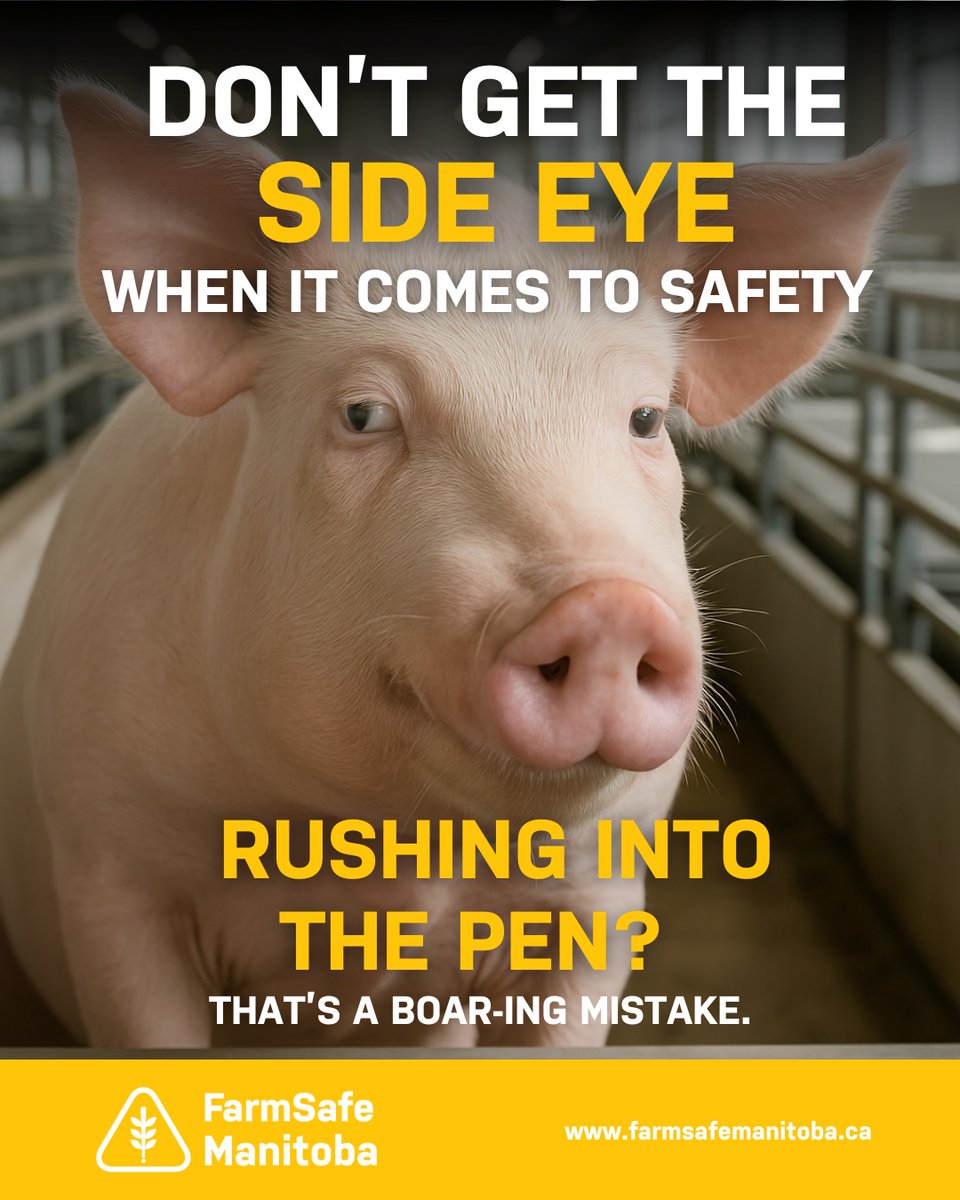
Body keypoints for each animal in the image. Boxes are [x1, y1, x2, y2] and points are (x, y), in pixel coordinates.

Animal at [0, 87, 903, 1047]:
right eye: (362, 415)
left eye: (647, 419)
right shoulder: (108, 865)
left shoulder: (599, 898)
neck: (389, 845)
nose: (606, 605)